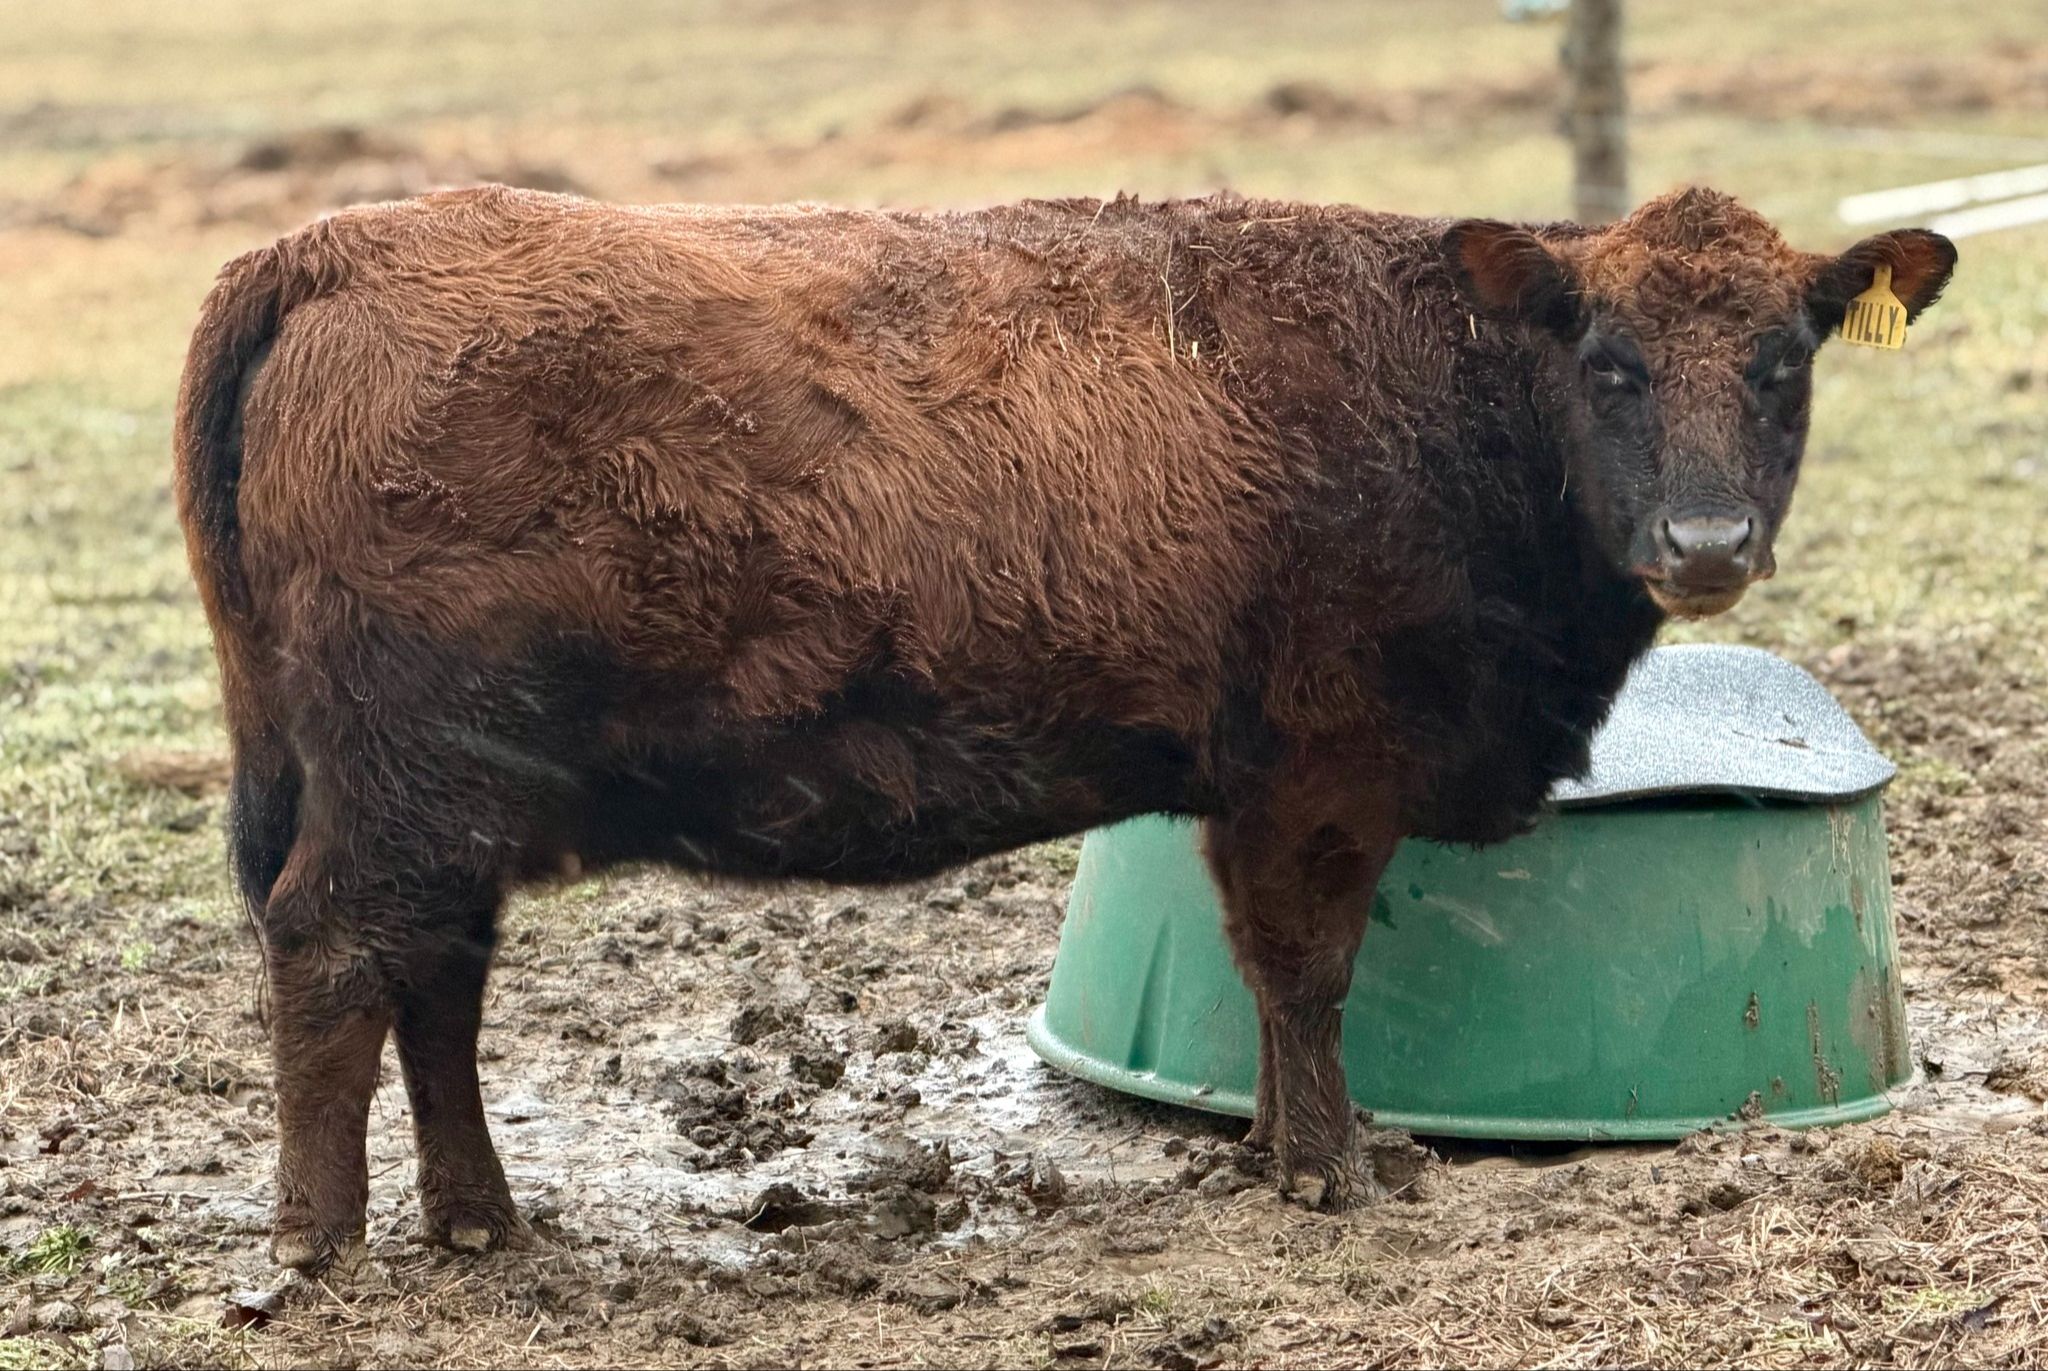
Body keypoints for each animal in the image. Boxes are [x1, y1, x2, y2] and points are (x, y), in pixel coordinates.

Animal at [174, 184, 1955, 1271]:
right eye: (1612, 360)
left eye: (1784, 360)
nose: (1708, 541)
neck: (1441, 392)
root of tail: (336, 245)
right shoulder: (1321, 772)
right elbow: (1309, 971)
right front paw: (1333, 1168)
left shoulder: (1246, 782)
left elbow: (1267, 977)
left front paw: (1282, 1146)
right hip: (409, 785)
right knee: (335, 952)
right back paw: (320, 1233)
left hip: (444, 799)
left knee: (433, 978)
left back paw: (481, 1214)